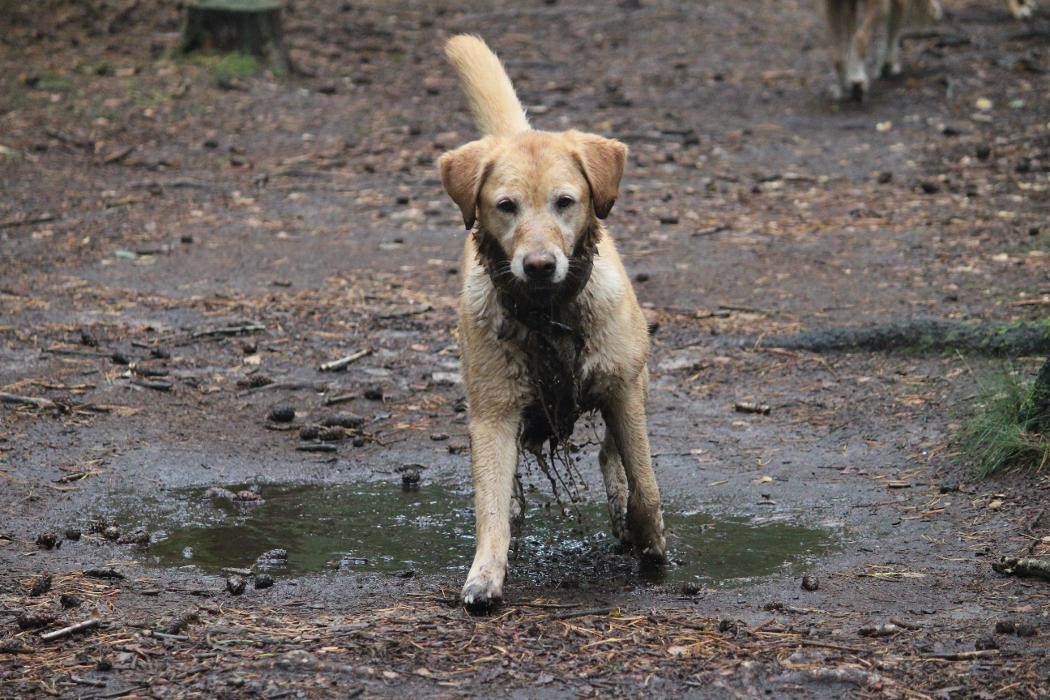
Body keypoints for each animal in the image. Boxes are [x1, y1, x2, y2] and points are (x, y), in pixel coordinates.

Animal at [434, 34, 663, 612]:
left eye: (565, 202)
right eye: (505, 206)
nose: (538, 264)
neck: (548, 315)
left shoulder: (623, 389)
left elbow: (646, 485)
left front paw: (649, 539)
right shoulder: (492, 412)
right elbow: (490, 505)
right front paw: (485, 576)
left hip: (634, 374)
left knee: (613, 455)